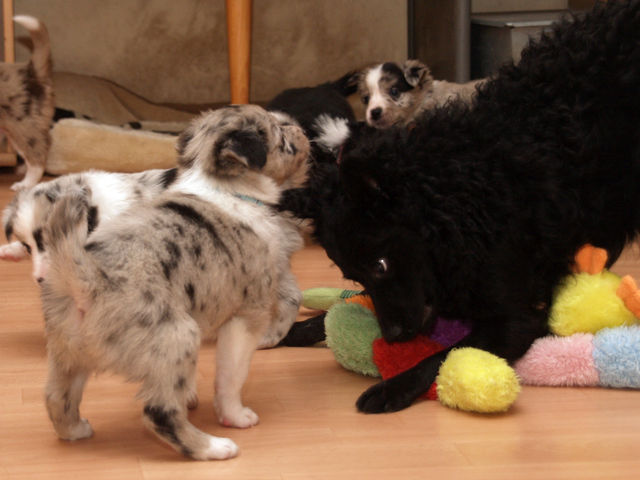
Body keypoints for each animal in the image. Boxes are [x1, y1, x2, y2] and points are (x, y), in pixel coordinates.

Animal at [37, 104, 309, 459]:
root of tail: (85, 278)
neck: (222, 186)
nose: (300, 127)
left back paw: (75, 431)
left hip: (67, 352)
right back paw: (213, 447)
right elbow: (231, 377)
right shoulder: (247, 316)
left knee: (57, 397)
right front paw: (235, 416)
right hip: (178, 336)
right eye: (282, 137)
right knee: (159, 413)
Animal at [280, 0, 640, 413]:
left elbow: (444, 355)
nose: (393, 337)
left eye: (381, 264)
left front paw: (393, 387)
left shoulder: (517, 314)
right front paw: (294, 328)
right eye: (354, 275)